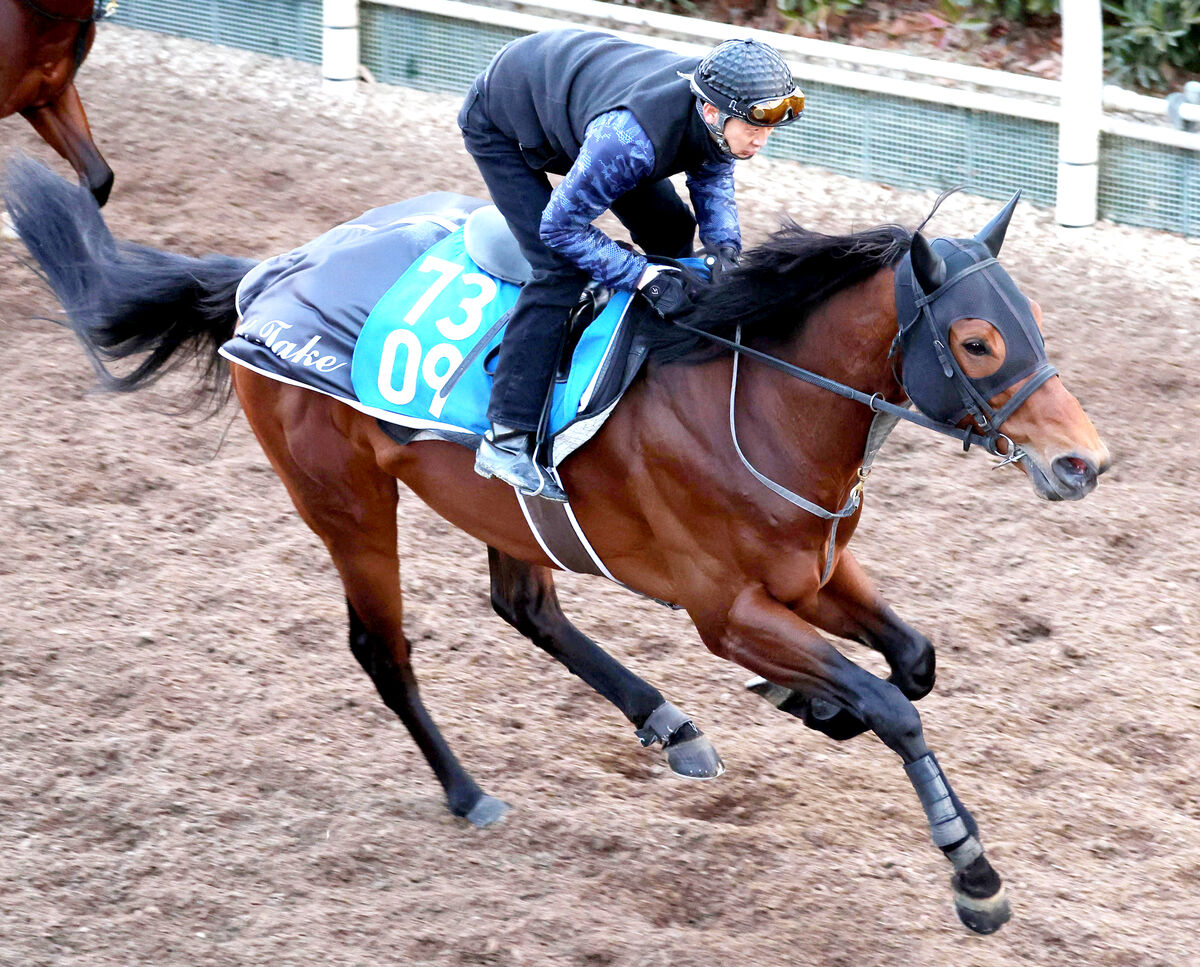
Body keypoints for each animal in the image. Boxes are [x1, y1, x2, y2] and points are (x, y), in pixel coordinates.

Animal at [0, 160, 1108, 940]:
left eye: (1030, 321)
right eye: (975, 341)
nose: (1083, 462)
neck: (759, 399)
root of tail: (267, 274)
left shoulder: (815, 574)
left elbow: (912, 662)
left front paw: (810, 702)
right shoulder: (727, 613)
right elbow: (892, 706)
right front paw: (972, 871)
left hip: (500, 509)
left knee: (525, 606)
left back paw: (667, 721)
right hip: (344, 500)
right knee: (382, 649)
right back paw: (469, 792)